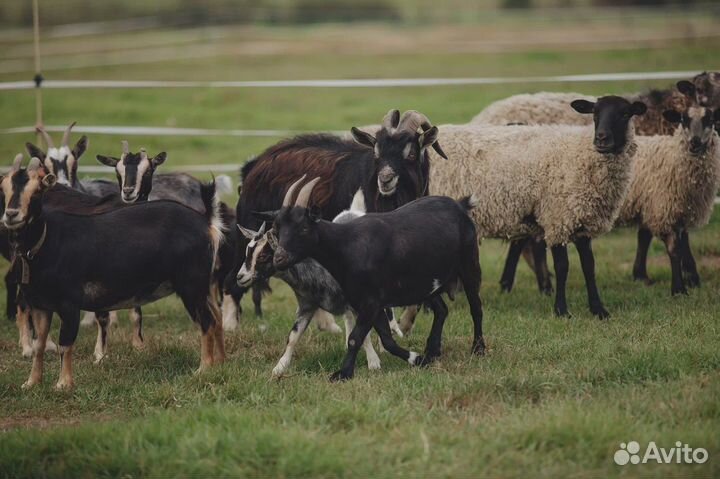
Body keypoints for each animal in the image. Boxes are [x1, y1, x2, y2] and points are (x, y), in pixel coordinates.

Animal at [0, 156, 225, 388]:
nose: (11, 215)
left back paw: (203, 370)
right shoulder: (40, 304)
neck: (45, 241)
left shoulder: (69, 303)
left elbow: (66, 343)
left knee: (207, 322)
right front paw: (31, 383)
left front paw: (63, 385)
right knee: (217, 318)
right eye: (4, 188)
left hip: (191, 285)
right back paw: (220, 363)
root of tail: (207, 221)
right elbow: (40, 345)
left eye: (37, 190)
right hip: (203, 285)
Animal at [228, 109, 448, 332]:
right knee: (233, 278)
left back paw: (328, 325)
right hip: (249, 231)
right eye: (377, 154)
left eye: (411, 154)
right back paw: (230, 325)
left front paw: (405, 324)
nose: (385, 179)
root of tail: (254, 165)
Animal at [264, 176, 484, 382]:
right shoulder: (372, 303)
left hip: (469, 263)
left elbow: (355, 338)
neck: (345, 245)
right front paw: (418, 359)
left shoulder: (370, 302)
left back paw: (478, 349)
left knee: (476, 308)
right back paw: (433, 351)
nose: (279, 259)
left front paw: (343, 373)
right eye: (277, 229)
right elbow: (387, 340)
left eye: (303, 228)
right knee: (442, 309)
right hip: (425, 282)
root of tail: (460, 205)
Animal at [424, 95, 648, 318]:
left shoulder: (581, 219)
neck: (582, 156)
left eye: (625, 114)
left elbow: (589, 266)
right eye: (595, 114)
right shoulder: (557, 218)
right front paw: (561, 310)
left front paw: (598, 310)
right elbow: (562, 267)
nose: (601, 139)